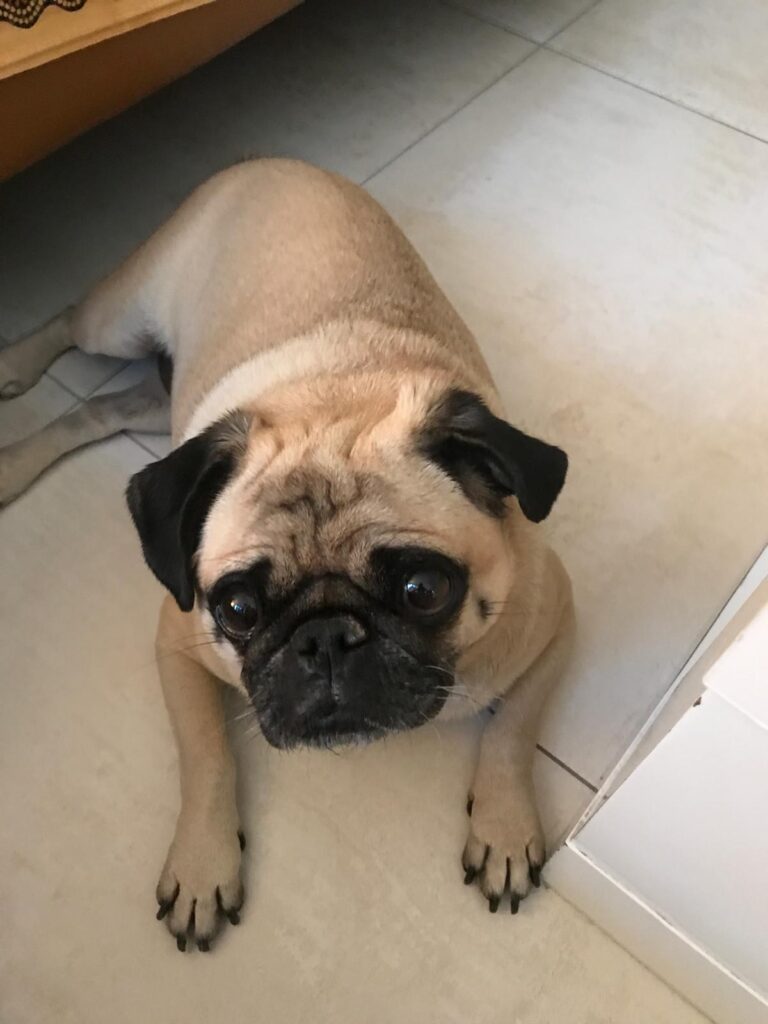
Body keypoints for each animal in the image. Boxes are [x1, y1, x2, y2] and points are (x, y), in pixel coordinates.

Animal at [0, 159, 573, 951]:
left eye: (424, 591)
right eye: (237, 608)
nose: (324, 638)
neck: (334, 400)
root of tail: (273, 163)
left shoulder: (553, 621)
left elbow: (514, 731)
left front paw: (505, 827)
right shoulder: (177, 642)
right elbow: (206, 757)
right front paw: (203, 862)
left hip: (168, 405)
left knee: (96, 411)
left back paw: (9, 465)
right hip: (119, 324)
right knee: (66, 321)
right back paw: (12, 369)